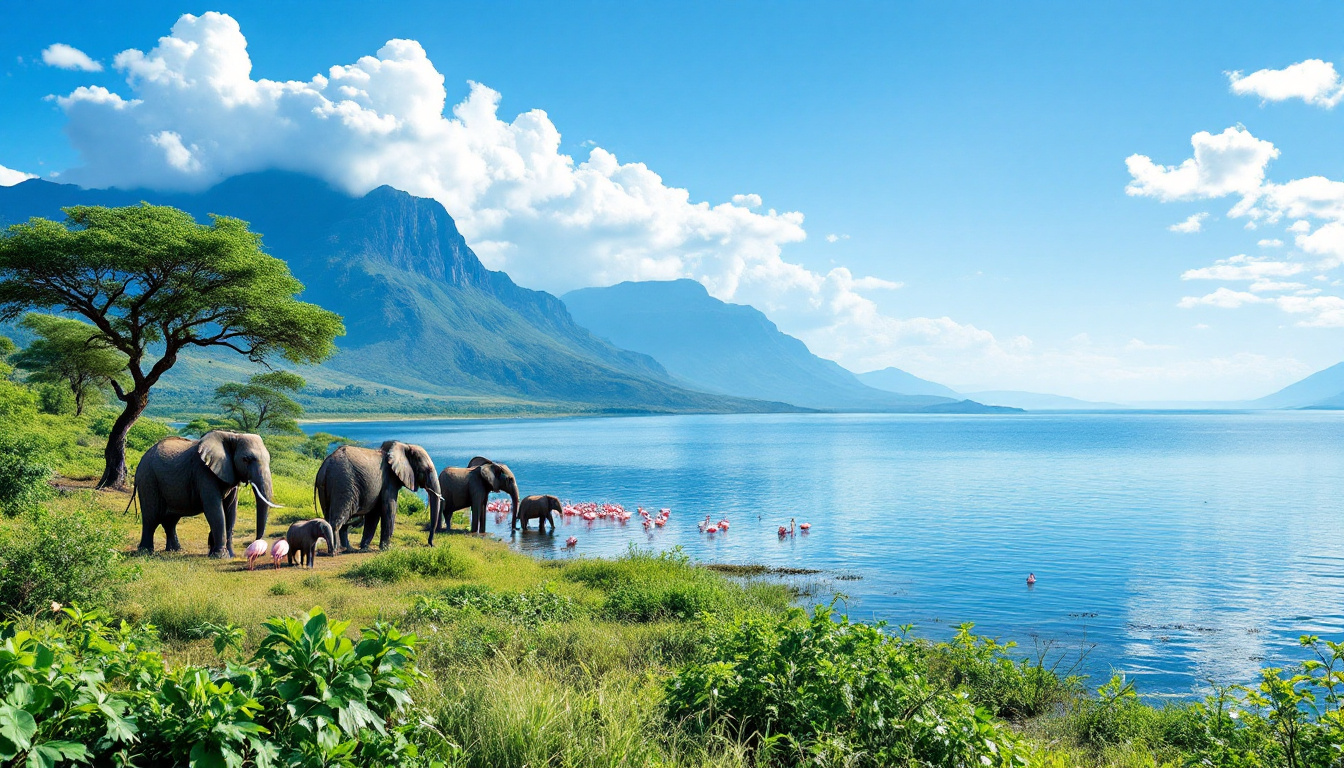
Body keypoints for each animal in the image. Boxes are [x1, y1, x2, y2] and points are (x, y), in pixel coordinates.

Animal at [133, 433, 280, 559]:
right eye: (246, 459)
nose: (260, 552)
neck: (233, 435)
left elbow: (231, 510)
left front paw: (229, 556)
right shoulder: (204, 473)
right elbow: (214, 509)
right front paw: (220, 556)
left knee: (171, 520)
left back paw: (175, 550)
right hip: (148, 479)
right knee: (151, 518)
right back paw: (145, 552)